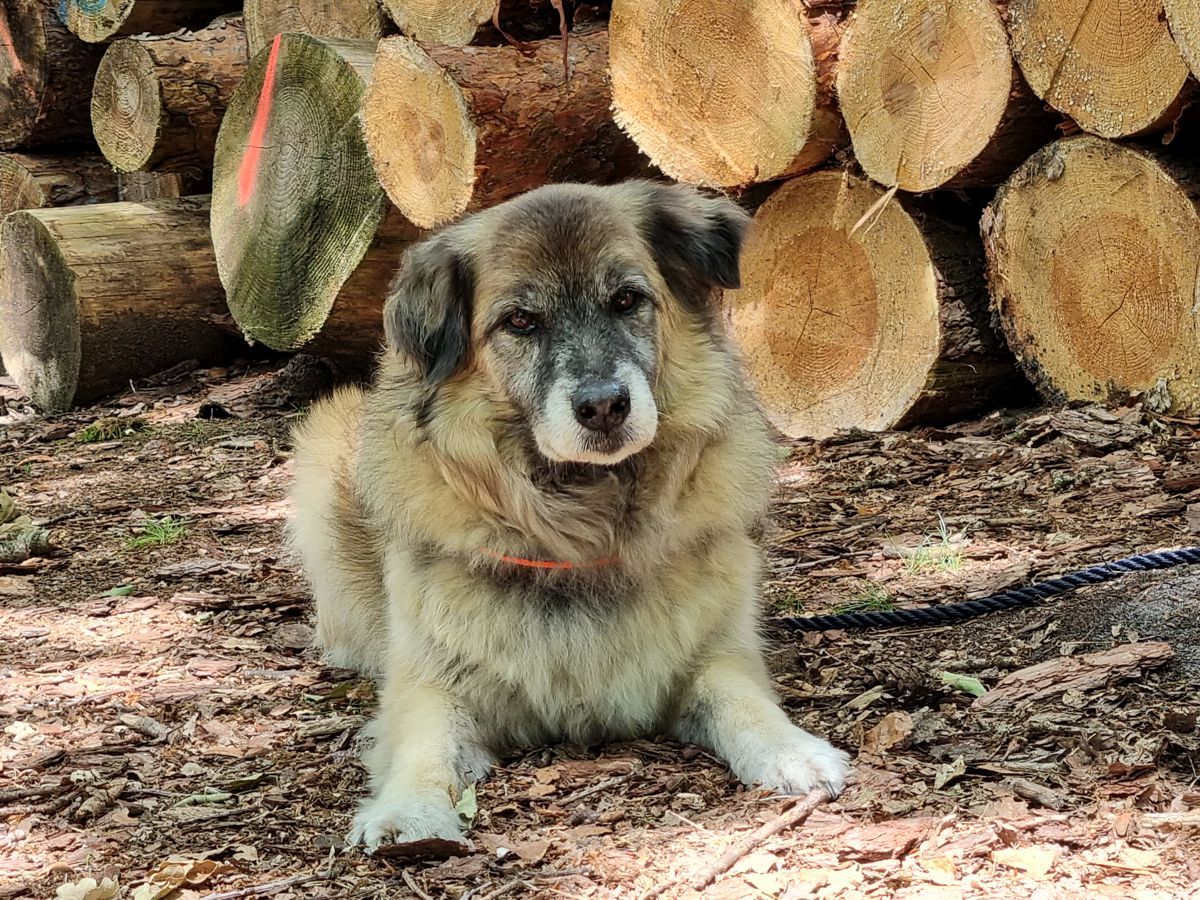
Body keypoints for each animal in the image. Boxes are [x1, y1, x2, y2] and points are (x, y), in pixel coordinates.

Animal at [288, 180, 854, 849]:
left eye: (627, 299)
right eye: (520, 321)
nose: (605, 406)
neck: (582, 530)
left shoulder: (714, 656)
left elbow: (746, 703)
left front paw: (794, 751)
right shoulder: (431, 684)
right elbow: (422, 746)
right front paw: (408, 810)